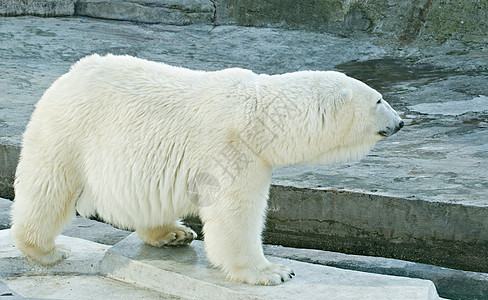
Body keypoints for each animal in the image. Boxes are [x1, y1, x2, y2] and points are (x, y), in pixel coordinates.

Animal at [10, 54, 404, 286]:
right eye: (380, 99)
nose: (400, 122)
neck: (260, 116)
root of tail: (70, 73)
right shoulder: (234, 151)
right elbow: (236, 214)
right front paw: (275, 271)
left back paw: (172, 233)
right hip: (71, 131)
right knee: (49, 187)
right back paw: (45, 250)